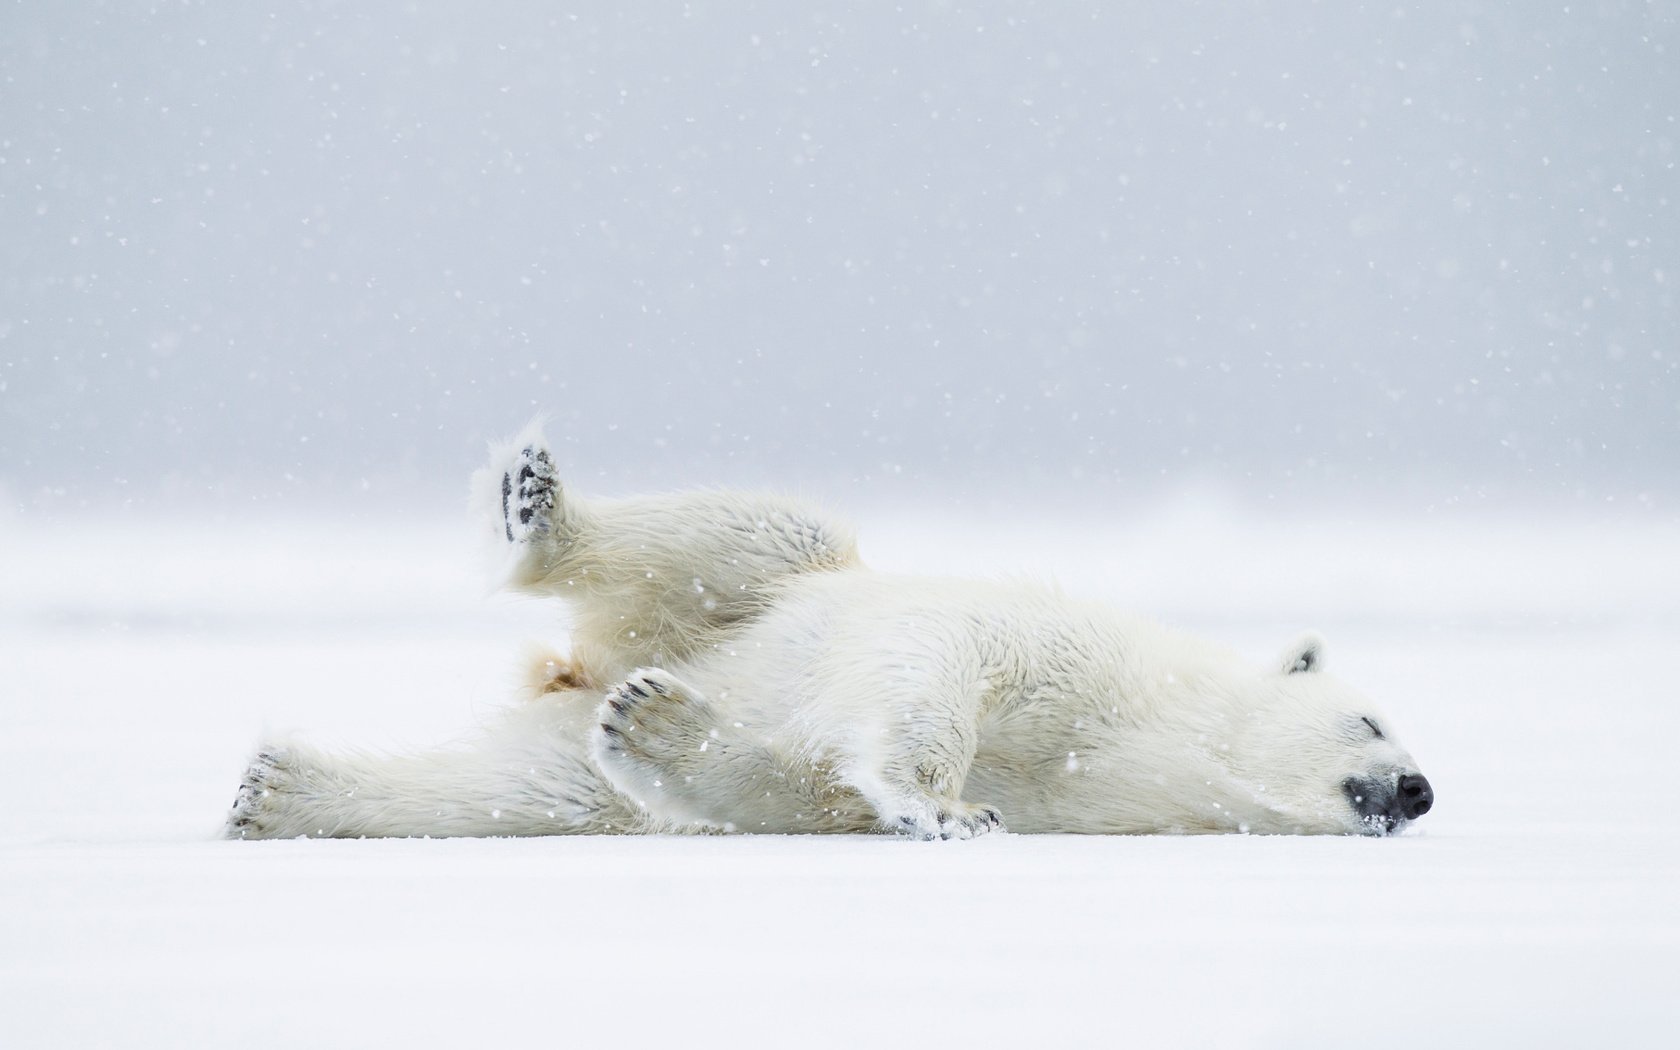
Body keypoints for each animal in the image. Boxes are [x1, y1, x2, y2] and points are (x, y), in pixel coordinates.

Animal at [226, 421, 1431, 840]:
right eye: (1374, 720)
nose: (1417, 790)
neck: (1158, 731)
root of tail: (576, 666)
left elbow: (801, 790)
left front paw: (666, 740)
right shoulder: (1060, 654)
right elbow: (938, 673)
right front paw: (951, 807)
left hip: (590, 718)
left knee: (523, 787)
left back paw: (282, 791)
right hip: (766, 588)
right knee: (750, 532)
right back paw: (537, 507)